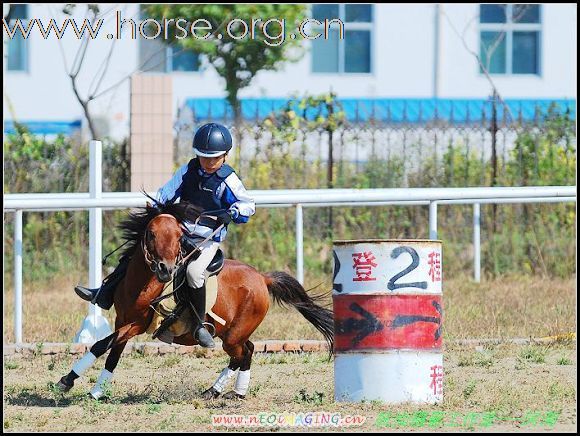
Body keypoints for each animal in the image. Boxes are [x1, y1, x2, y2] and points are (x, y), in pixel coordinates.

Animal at [57, 199, 336, 400]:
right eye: (151, 234)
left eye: (179, 237)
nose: (165, 269)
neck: (140, 286)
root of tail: (263, 278)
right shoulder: (122, 321)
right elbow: (111, 352)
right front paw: (96, 390)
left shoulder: (136, 325)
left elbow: (100, 344)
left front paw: (68, 380)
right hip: (231, 333)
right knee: (247, 350)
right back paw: (219, 391)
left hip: (233, 335)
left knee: (242, 352)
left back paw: (232, 391)